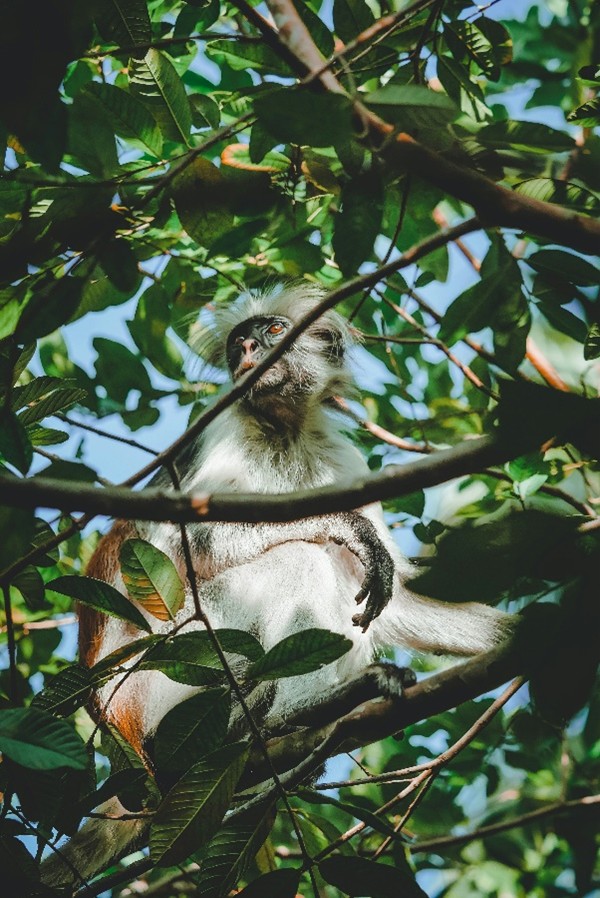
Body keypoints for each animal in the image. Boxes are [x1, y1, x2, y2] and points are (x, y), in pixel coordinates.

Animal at [41, 282, 515, 889]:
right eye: (238, 344)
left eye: (269, 333)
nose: (248, 352)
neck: (283, 429)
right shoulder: (222, 433)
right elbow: (194, 541)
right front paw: (346, 526)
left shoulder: (344, 461)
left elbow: (393, 599)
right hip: (167, 680)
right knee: (300, 561)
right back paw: (304, 713)